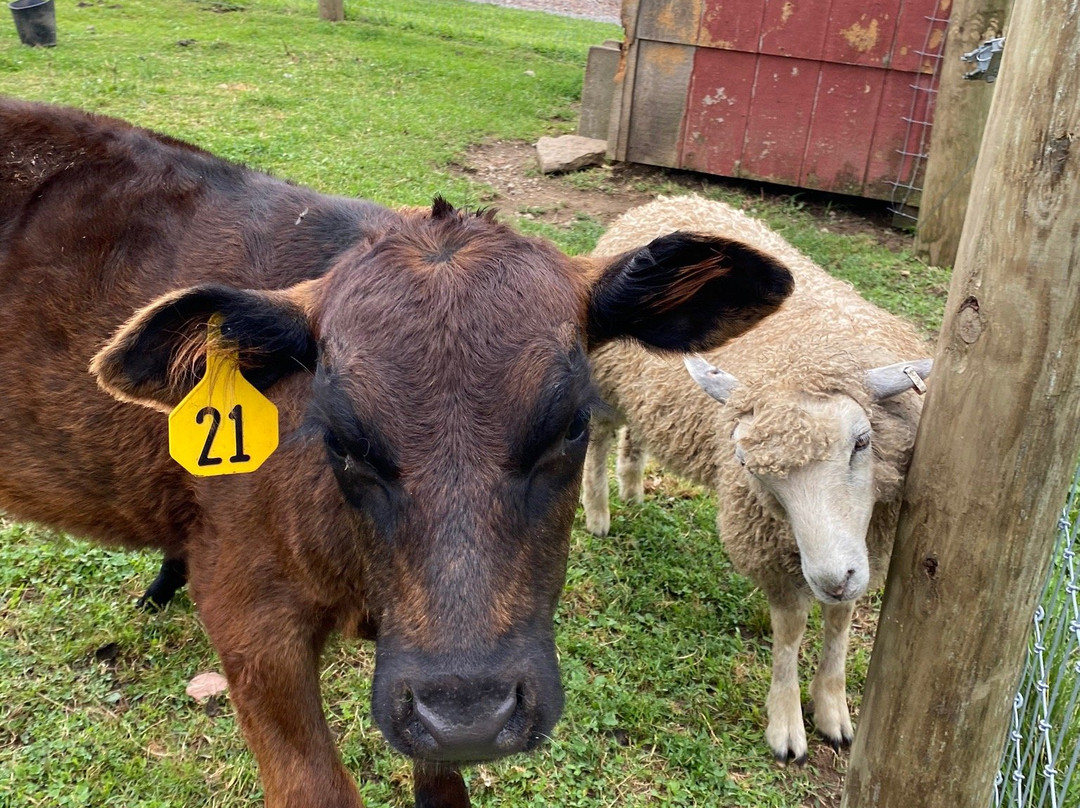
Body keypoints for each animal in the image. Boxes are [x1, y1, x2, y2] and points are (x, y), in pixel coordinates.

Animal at [582, 195, 932, 763]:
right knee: (600, 437)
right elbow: (790, 633)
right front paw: (786, 724)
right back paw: (598, 514)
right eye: (748, 466)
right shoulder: (770, 549)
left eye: (862, 442)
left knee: (638, 431)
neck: (807, 349)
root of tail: (666, 200)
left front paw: (833, 708)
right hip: (606, 380)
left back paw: (632, 490)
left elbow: (841, 621)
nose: (832, 578)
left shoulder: (868, 543)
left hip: (643, 387)